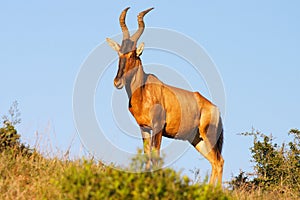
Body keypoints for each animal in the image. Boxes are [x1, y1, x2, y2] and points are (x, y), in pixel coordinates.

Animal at [106, 7, 224, 185]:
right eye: (119, 53)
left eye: (133, 54)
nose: (117, 82)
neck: (144, 89)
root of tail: (215, 109)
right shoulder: (144, 128)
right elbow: (147, 155)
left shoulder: (159, 127)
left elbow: (156, 155)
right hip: (197, 140)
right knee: (214, 162)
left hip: (208, 136)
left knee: (219, 161)